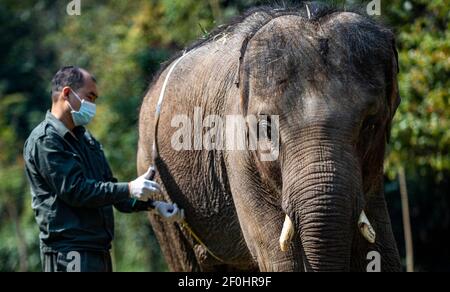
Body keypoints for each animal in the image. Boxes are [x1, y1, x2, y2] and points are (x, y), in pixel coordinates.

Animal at [136, 4, 400, 272]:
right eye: (267, 127)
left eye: (371, 124)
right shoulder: (238, 155)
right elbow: (281, 258)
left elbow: (383, 252)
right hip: (158, 189)